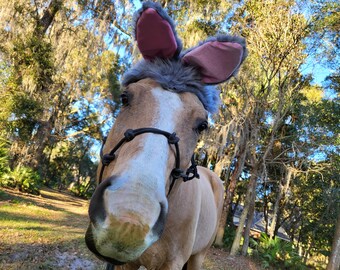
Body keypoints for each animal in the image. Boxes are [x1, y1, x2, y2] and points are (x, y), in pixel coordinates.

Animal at [83, 1, 246, 268]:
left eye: (202, 125)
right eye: (125, 97)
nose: (129, 220)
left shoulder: (174, 262)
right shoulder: (127, 263)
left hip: (199, 256)